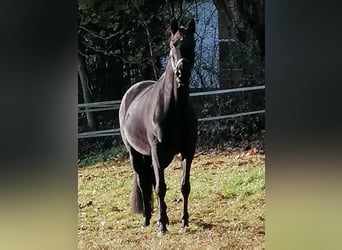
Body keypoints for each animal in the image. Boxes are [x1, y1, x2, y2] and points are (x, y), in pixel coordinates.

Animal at [119, 19, 198, 234]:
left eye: (192, 45)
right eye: (172, 45)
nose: (182, 73)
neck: (175, 107)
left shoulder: (188, 150)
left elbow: (184, 186)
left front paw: (184, 221)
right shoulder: (156, 150)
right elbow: (160, 188)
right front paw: (161, 225)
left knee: (150, 182)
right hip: (136, 155)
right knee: (142, 183)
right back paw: (146, 219)